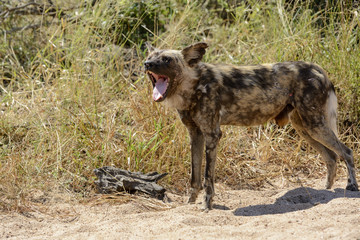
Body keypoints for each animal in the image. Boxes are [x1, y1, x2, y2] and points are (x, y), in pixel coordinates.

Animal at [145, 42, 358, 211]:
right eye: (149, 57)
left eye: (167, 60)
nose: (147, 65)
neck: (194, 85)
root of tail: (316, 68)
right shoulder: (195, 135)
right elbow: (195, 177)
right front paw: (189, 203)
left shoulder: (212, 134)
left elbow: (207, 179)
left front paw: (207, 206)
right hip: (305, 128)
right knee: (331, 156)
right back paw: (326, 191)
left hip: (315, 126)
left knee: (346, 151)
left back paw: (352, 186)